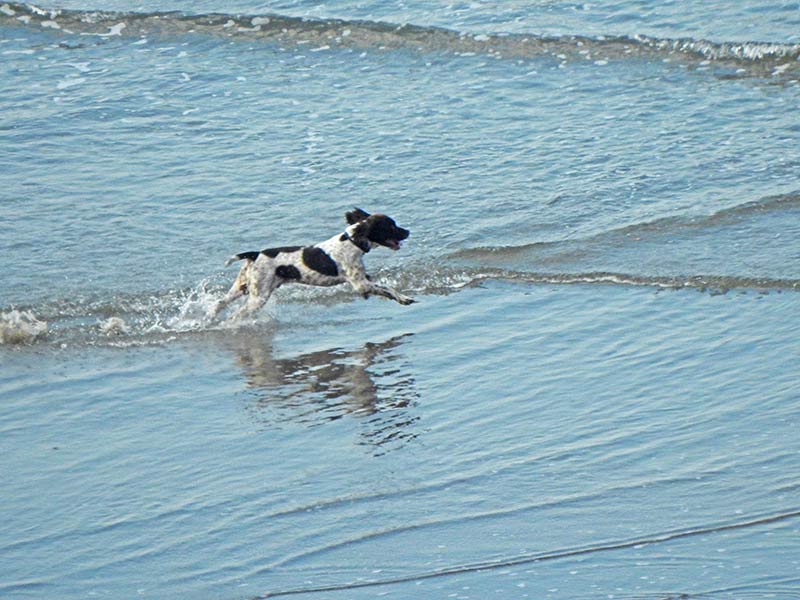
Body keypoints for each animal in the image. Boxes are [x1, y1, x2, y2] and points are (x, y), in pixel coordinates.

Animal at [209, 206, 416, 322]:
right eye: (391, 226)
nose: (408, 231)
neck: (352, 242)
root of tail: (255, 254)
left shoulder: (364, 280)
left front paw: (403, 298)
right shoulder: (360, 284)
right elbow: (386, 288)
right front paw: (403, 298)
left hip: (242, 287)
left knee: (218, 303)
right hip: (258, 297)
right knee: (235, 315)